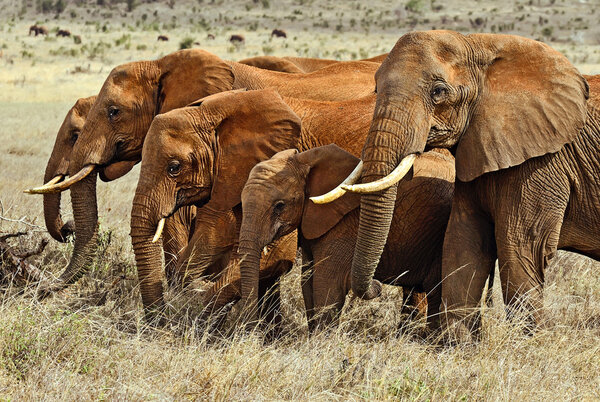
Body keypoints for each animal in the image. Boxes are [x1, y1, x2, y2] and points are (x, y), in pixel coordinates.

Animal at [239, 144, 454, 330]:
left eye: (279, 206)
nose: (377, 285)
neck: (305, 160)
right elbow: (307, 283)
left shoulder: (346, 225)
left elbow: (327, 285)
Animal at [322, 31, 596, 338]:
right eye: (376, 88)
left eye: (438, 92)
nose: (376, 287)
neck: (479, 44)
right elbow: (464, 241)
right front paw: (458, 343)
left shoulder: (543, 161)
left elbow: (523, 246)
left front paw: (528, 342)